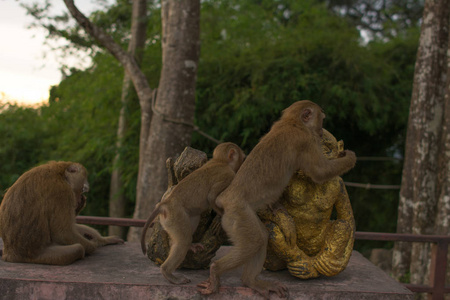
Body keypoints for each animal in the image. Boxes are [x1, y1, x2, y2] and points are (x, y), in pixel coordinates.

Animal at [142, 142, 244, 284]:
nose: (242, 164)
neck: (220, 161)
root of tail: (165, 204)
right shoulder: (228, 175)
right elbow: (211, 197)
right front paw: (221, 217)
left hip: (170, 220)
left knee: (194, 218)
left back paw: (188, 246)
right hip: (175, 215)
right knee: (183, 241)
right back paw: (168, 273)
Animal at [258, 128, 356, 278]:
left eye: (325, 148)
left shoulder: (340, 184)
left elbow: (347, 217)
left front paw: (335, 266)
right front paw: (286, 222)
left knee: (342, 225)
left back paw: (320, 264)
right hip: (273, 260)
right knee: (271, 228)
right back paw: (301, 264)